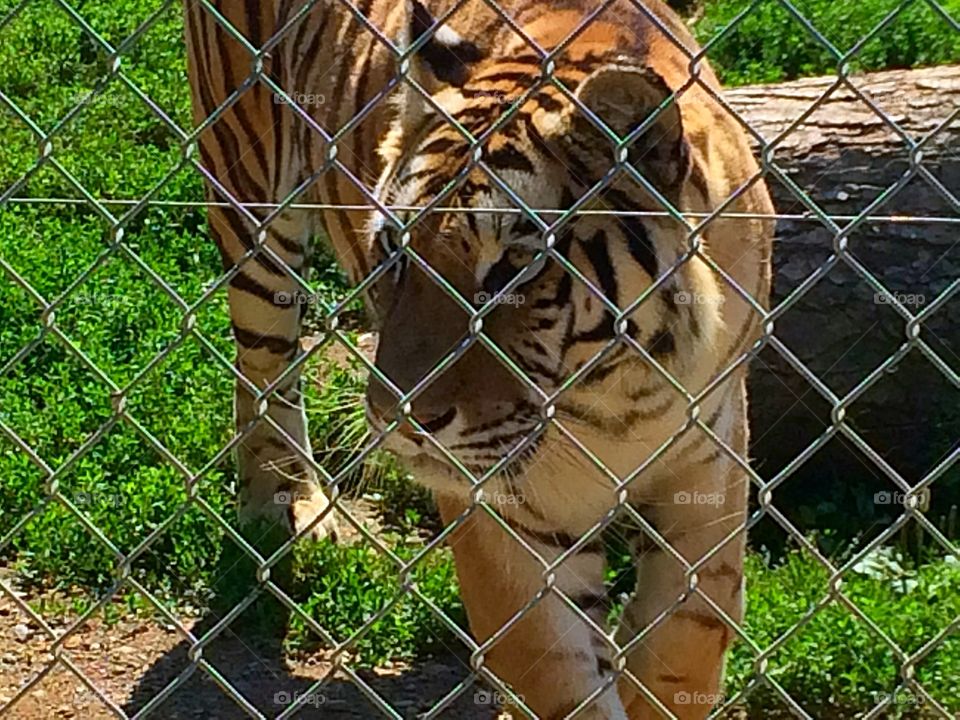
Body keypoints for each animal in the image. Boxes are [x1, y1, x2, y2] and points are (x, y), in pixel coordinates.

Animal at [184, 0, 773, 718]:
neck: (614, 397)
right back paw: (283, 505)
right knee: (265, 367)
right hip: (251, 206)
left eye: (513, 269)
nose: (399, 418)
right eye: (395, 251)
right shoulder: (503, 515)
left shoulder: (708, 455)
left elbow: (690, 633)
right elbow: (558, 671)